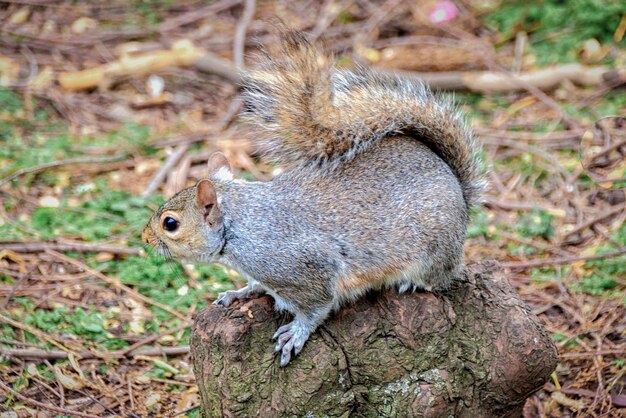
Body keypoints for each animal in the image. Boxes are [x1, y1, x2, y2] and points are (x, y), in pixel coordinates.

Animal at [140, 31, 482, 368]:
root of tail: (459, 194)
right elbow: (258, 285)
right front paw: (240, 292)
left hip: (434, 246)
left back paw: (415, 282)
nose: (144, 237)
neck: (241, 226)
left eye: (170, 223)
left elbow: (317, 306)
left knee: (443, 275)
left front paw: (296, 333)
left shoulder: (305, 268)